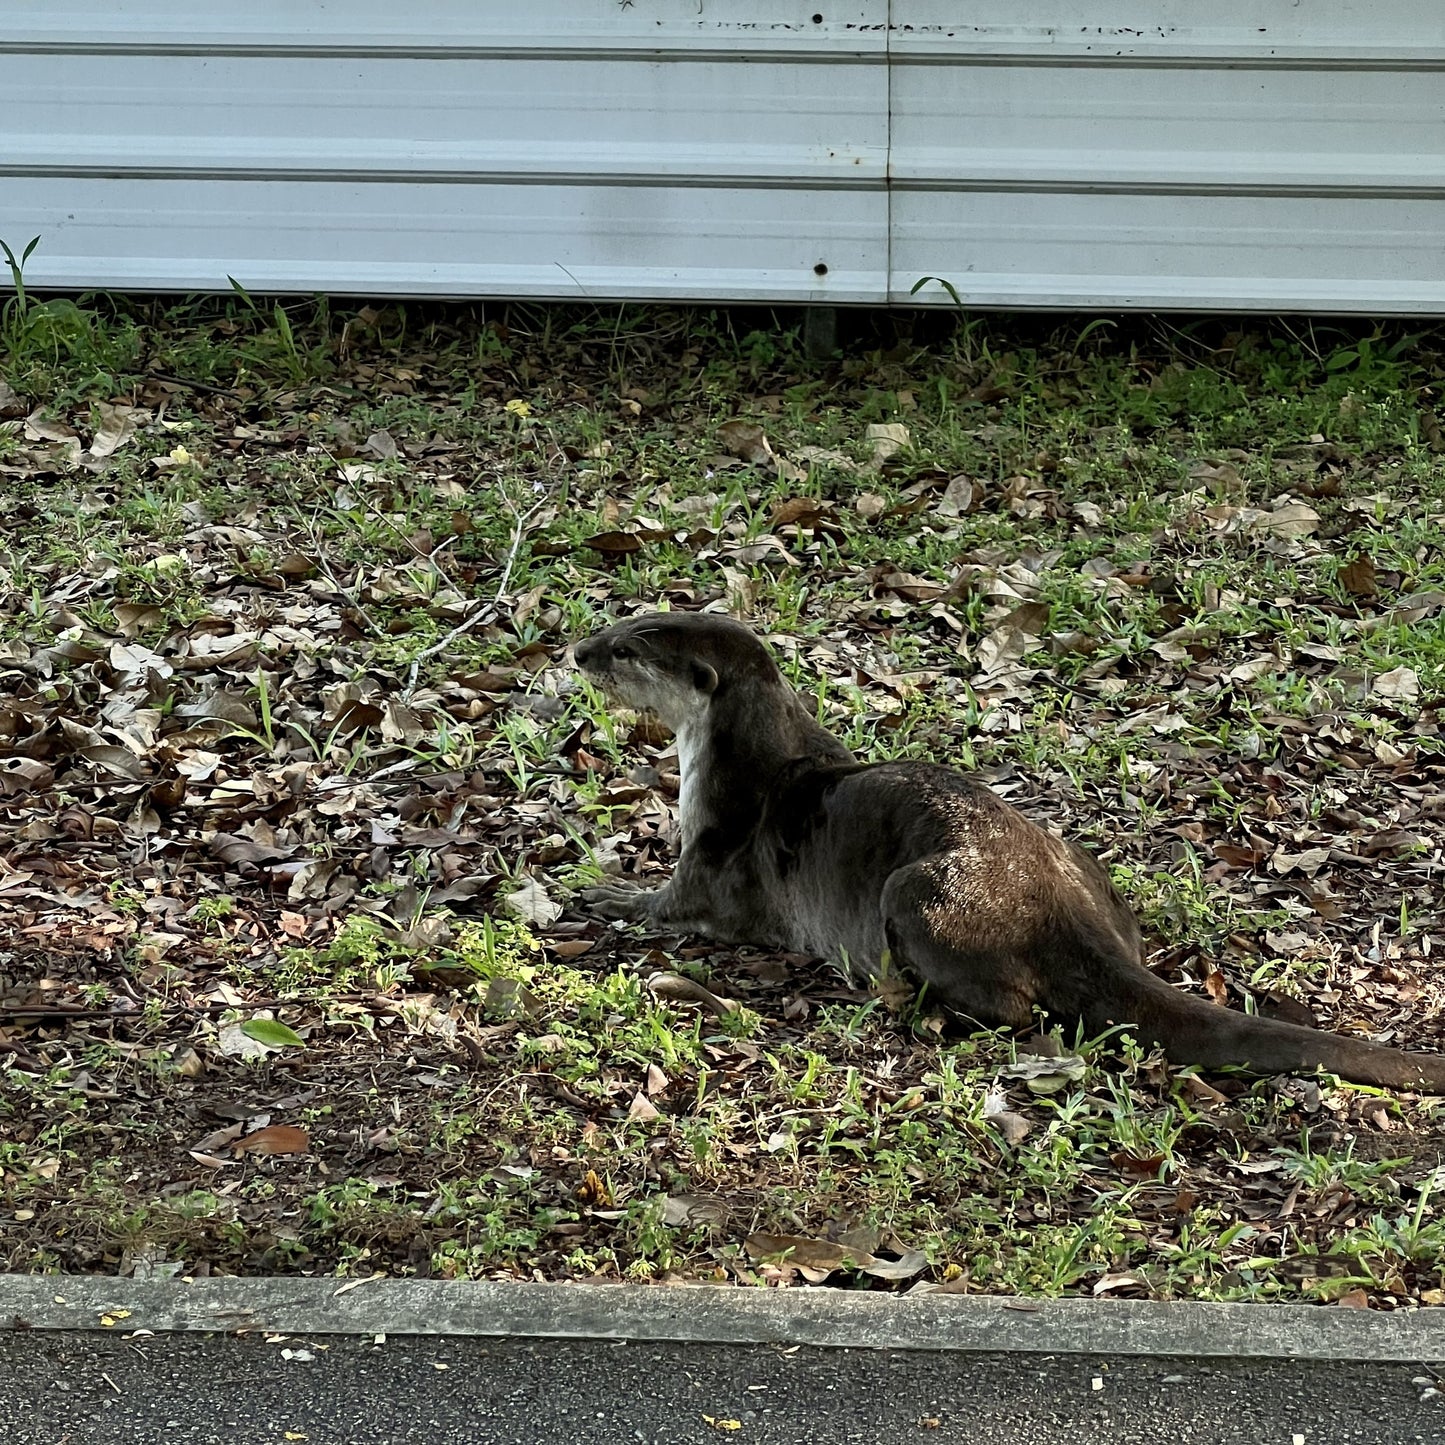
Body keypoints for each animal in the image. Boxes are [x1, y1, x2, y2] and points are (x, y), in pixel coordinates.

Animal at [572, 611, 1445, 1092]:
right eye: (617, 625)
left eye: (627, 647)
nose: (578, 649)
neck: (734, 756)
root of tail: (1062, 904)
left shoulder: (715, 849)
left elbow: (678, 905)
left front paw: (604, 892)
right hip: (1085, 867)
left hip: (915, 891)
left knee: (1014, 1009)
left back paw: (898, 1000)